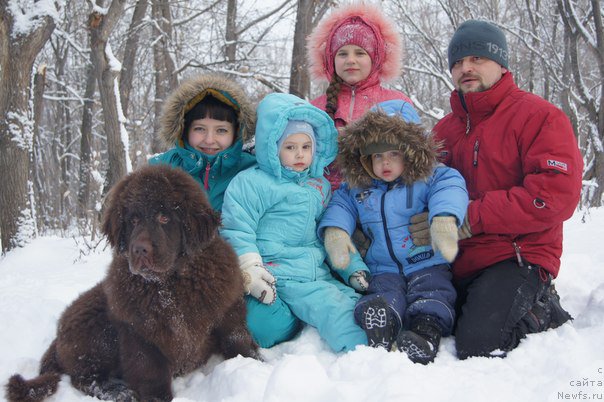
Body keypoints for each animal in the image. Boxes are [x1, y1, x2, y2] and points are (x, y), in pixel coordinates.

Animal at [5, 165, 258, 400]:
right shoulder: (139, 336)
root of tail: (56, 339)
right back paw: (117, 391)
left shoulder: (228, 314)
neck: (171, 287)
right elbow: (152, 375)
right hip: (99, 330)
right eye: (134, 219)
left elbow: (239, 342)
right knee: (84, 377)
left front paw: (256, 364)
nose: (139, 249)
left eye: (164, 217)